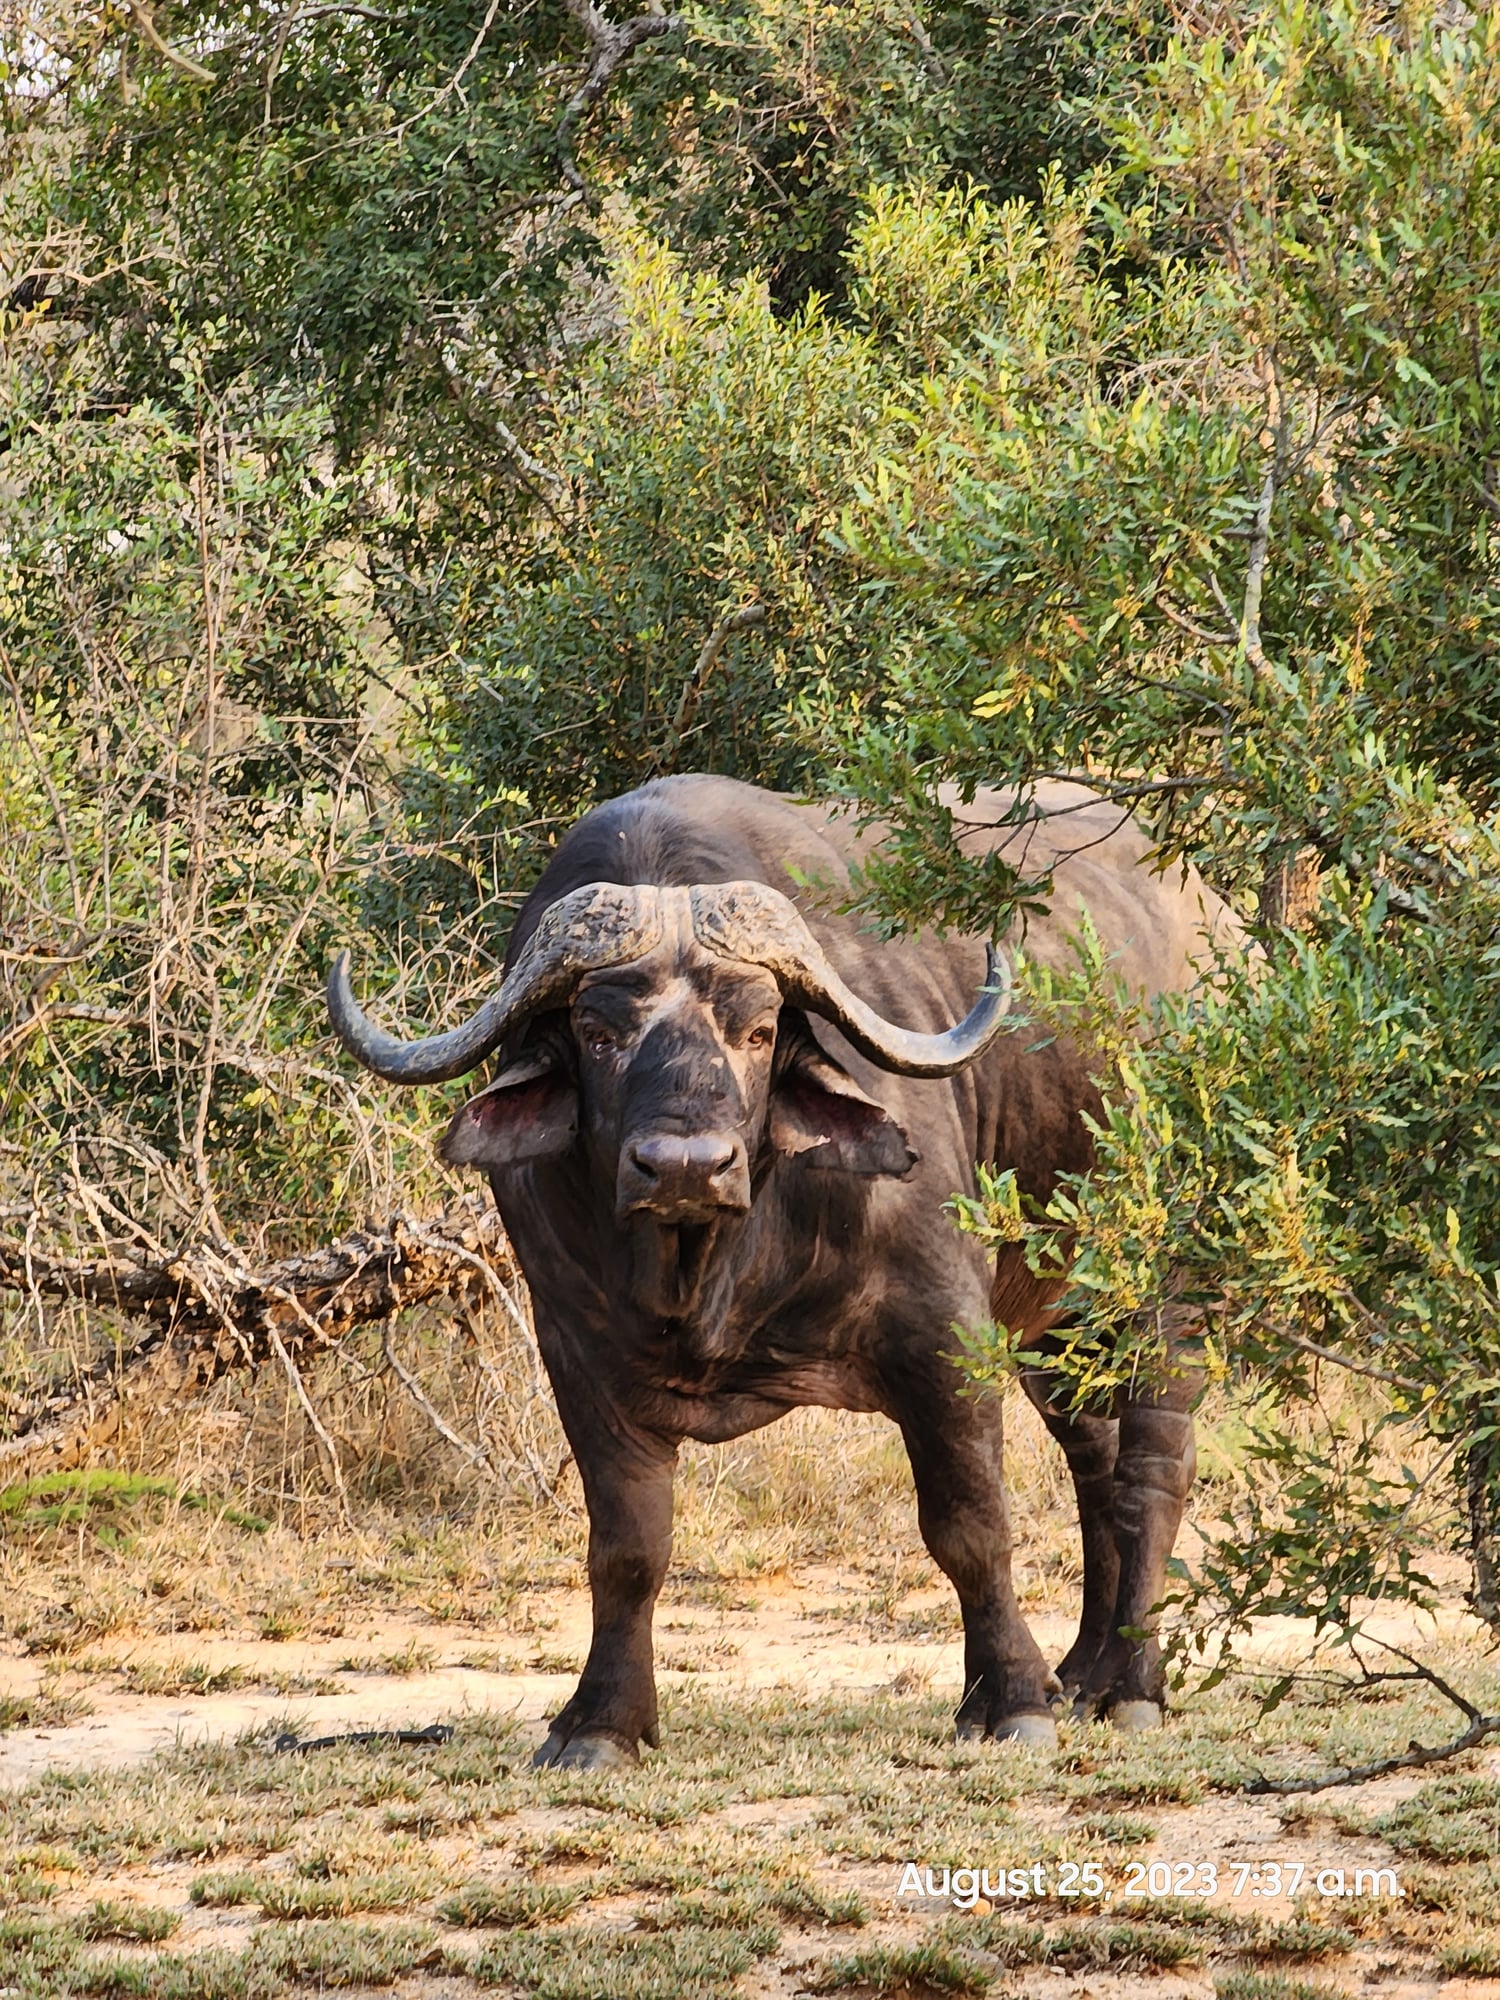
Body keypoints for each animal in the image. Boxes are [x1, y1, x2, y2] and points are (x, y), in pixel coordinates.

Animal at [328, 775, 1240, 1768]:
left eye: (761, 1029)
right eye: (597, 1032)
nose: (684, 1167)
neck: (712, 1266)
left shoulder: (944, 1334)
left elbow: (970, 1525)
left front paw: (1009, 1702)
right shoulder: (577, 1353)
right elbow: (627, 1550)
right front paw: (600, 1722)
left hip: (1162, 1282)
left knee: (1153, 1464)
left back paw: (1132, 1686)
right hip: (1057, 1325)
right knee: (1096, 1461)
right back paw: (1082, 1671)